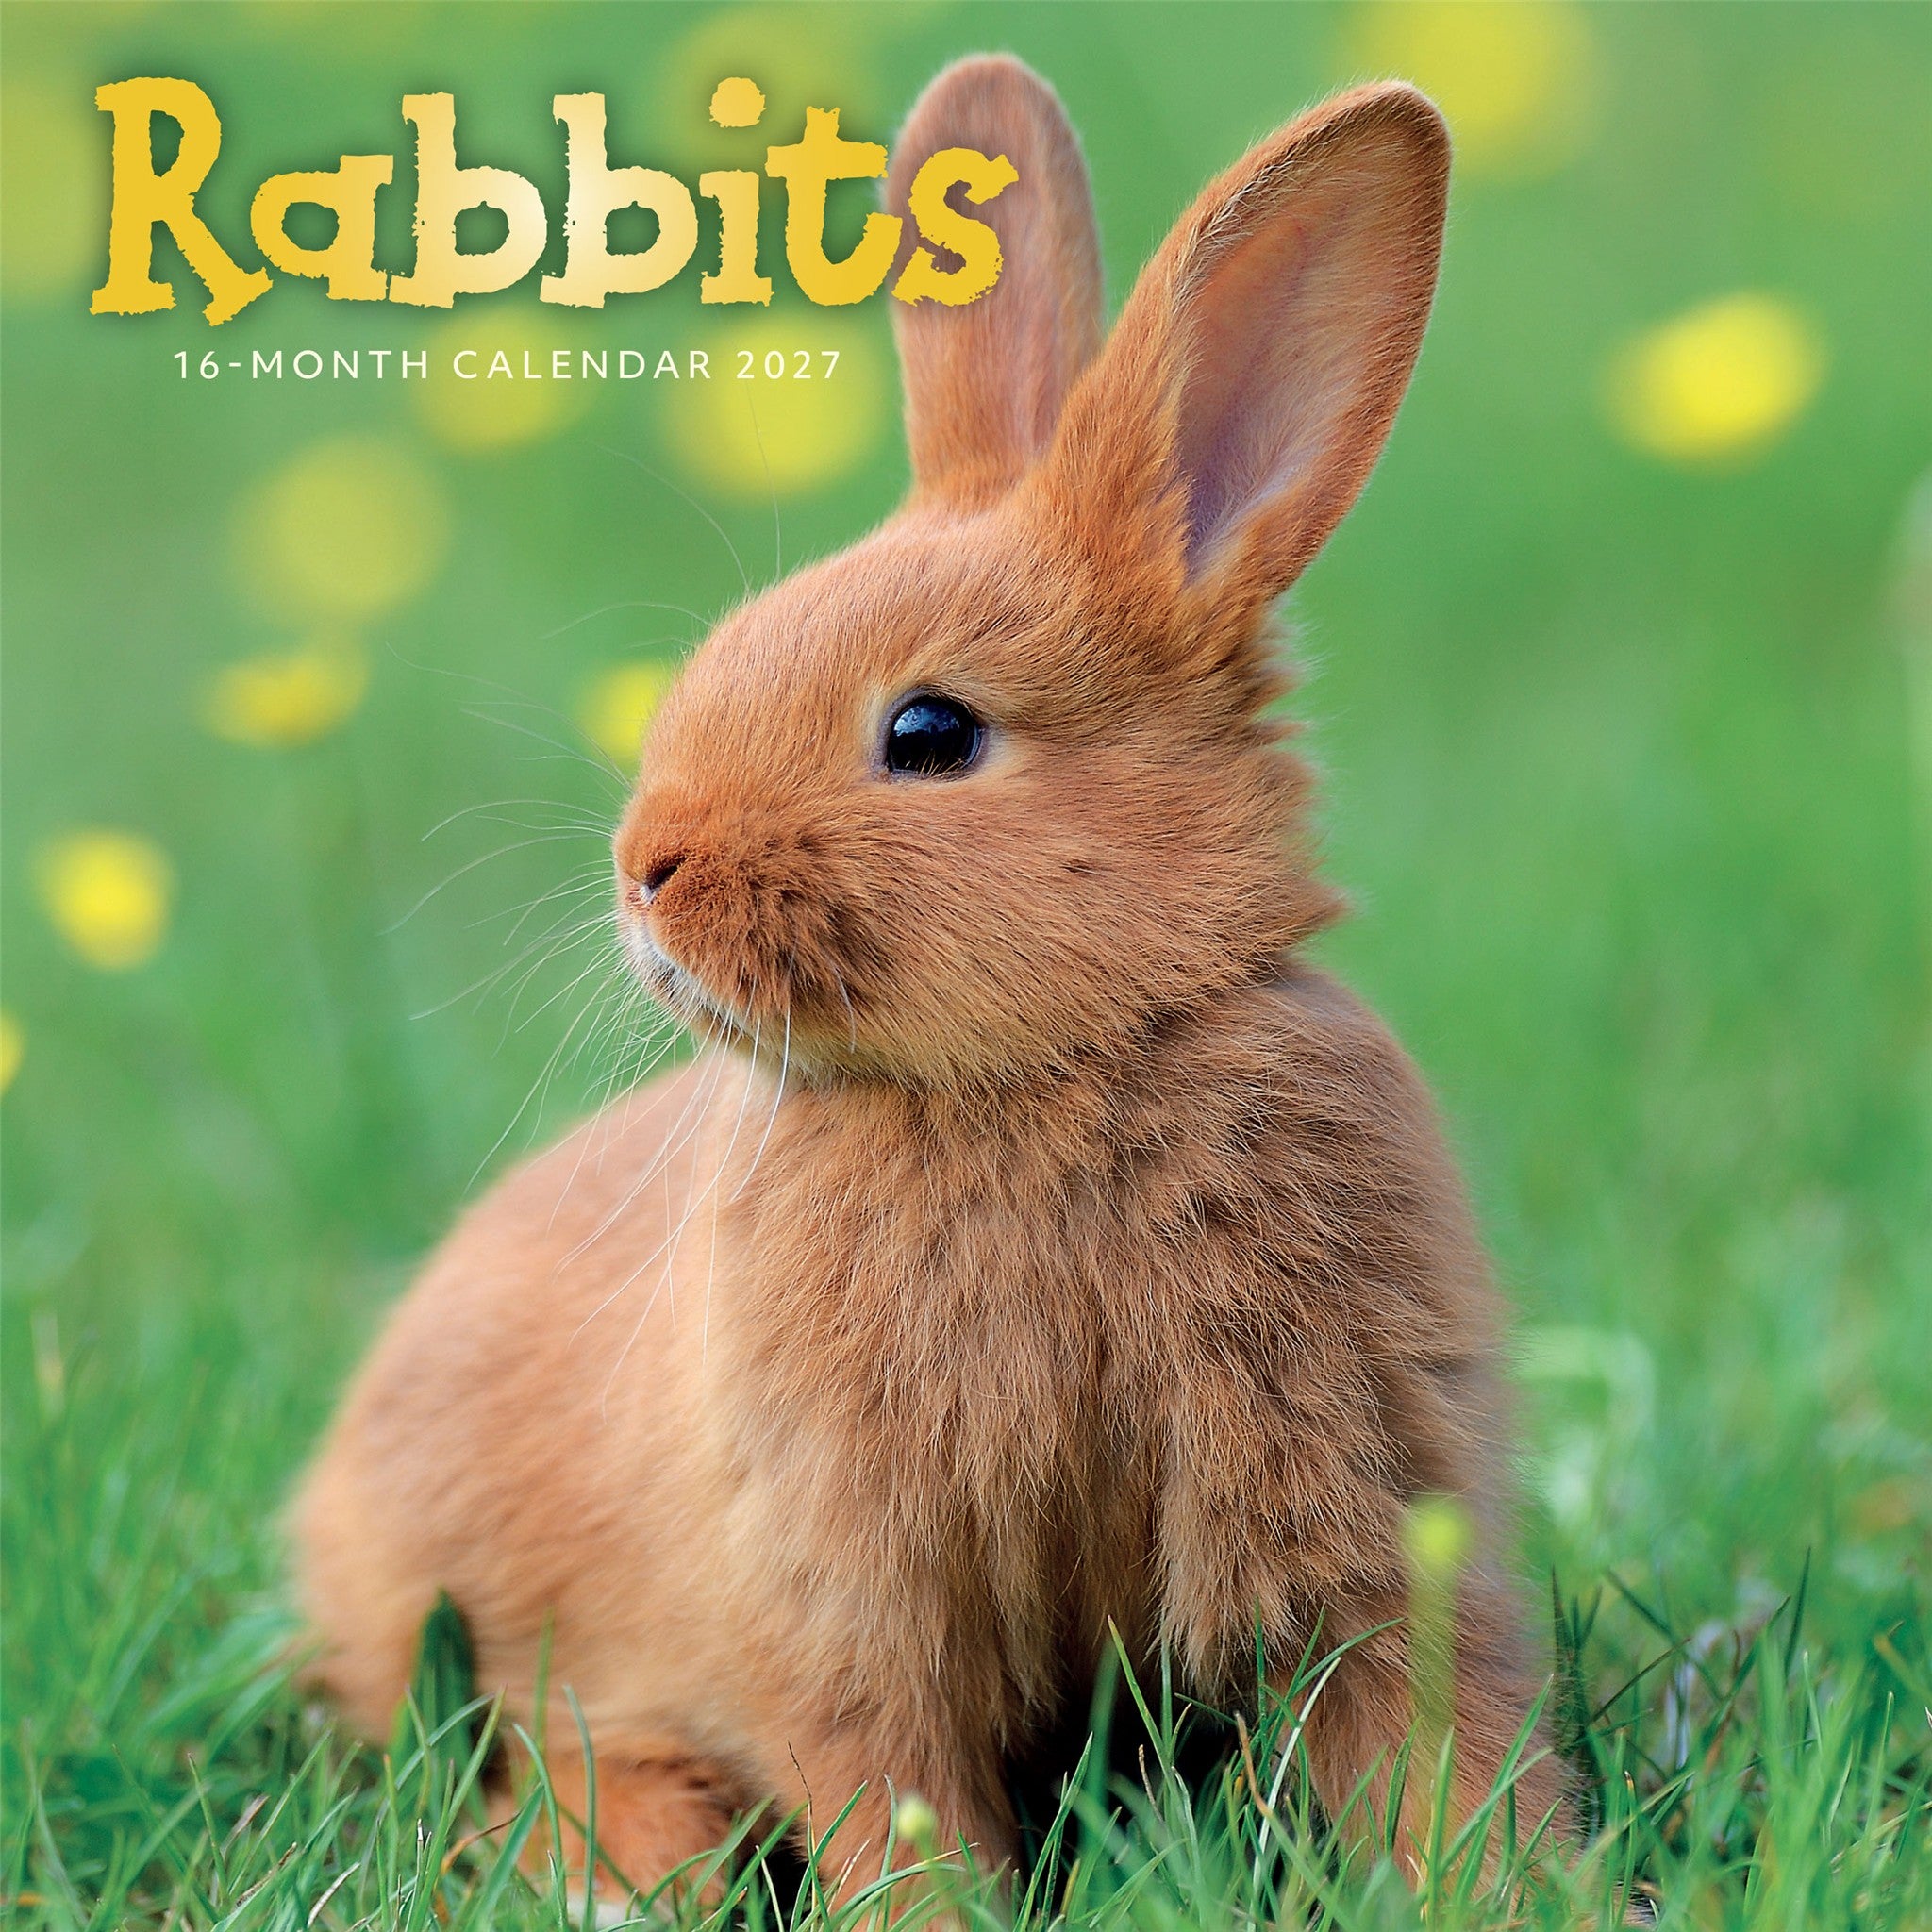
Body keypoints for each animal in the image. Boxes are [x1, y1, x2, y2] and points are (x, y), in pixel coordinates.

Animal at [293, 53, 1568, 1908]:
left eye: (929, 733)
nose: (646, 868)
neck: (1051, 1071)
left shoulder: (1362, 1501)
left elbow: (1427, 1739)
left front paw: (1517, 1887)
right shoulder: (838, 1583)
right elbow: (884, 1778)